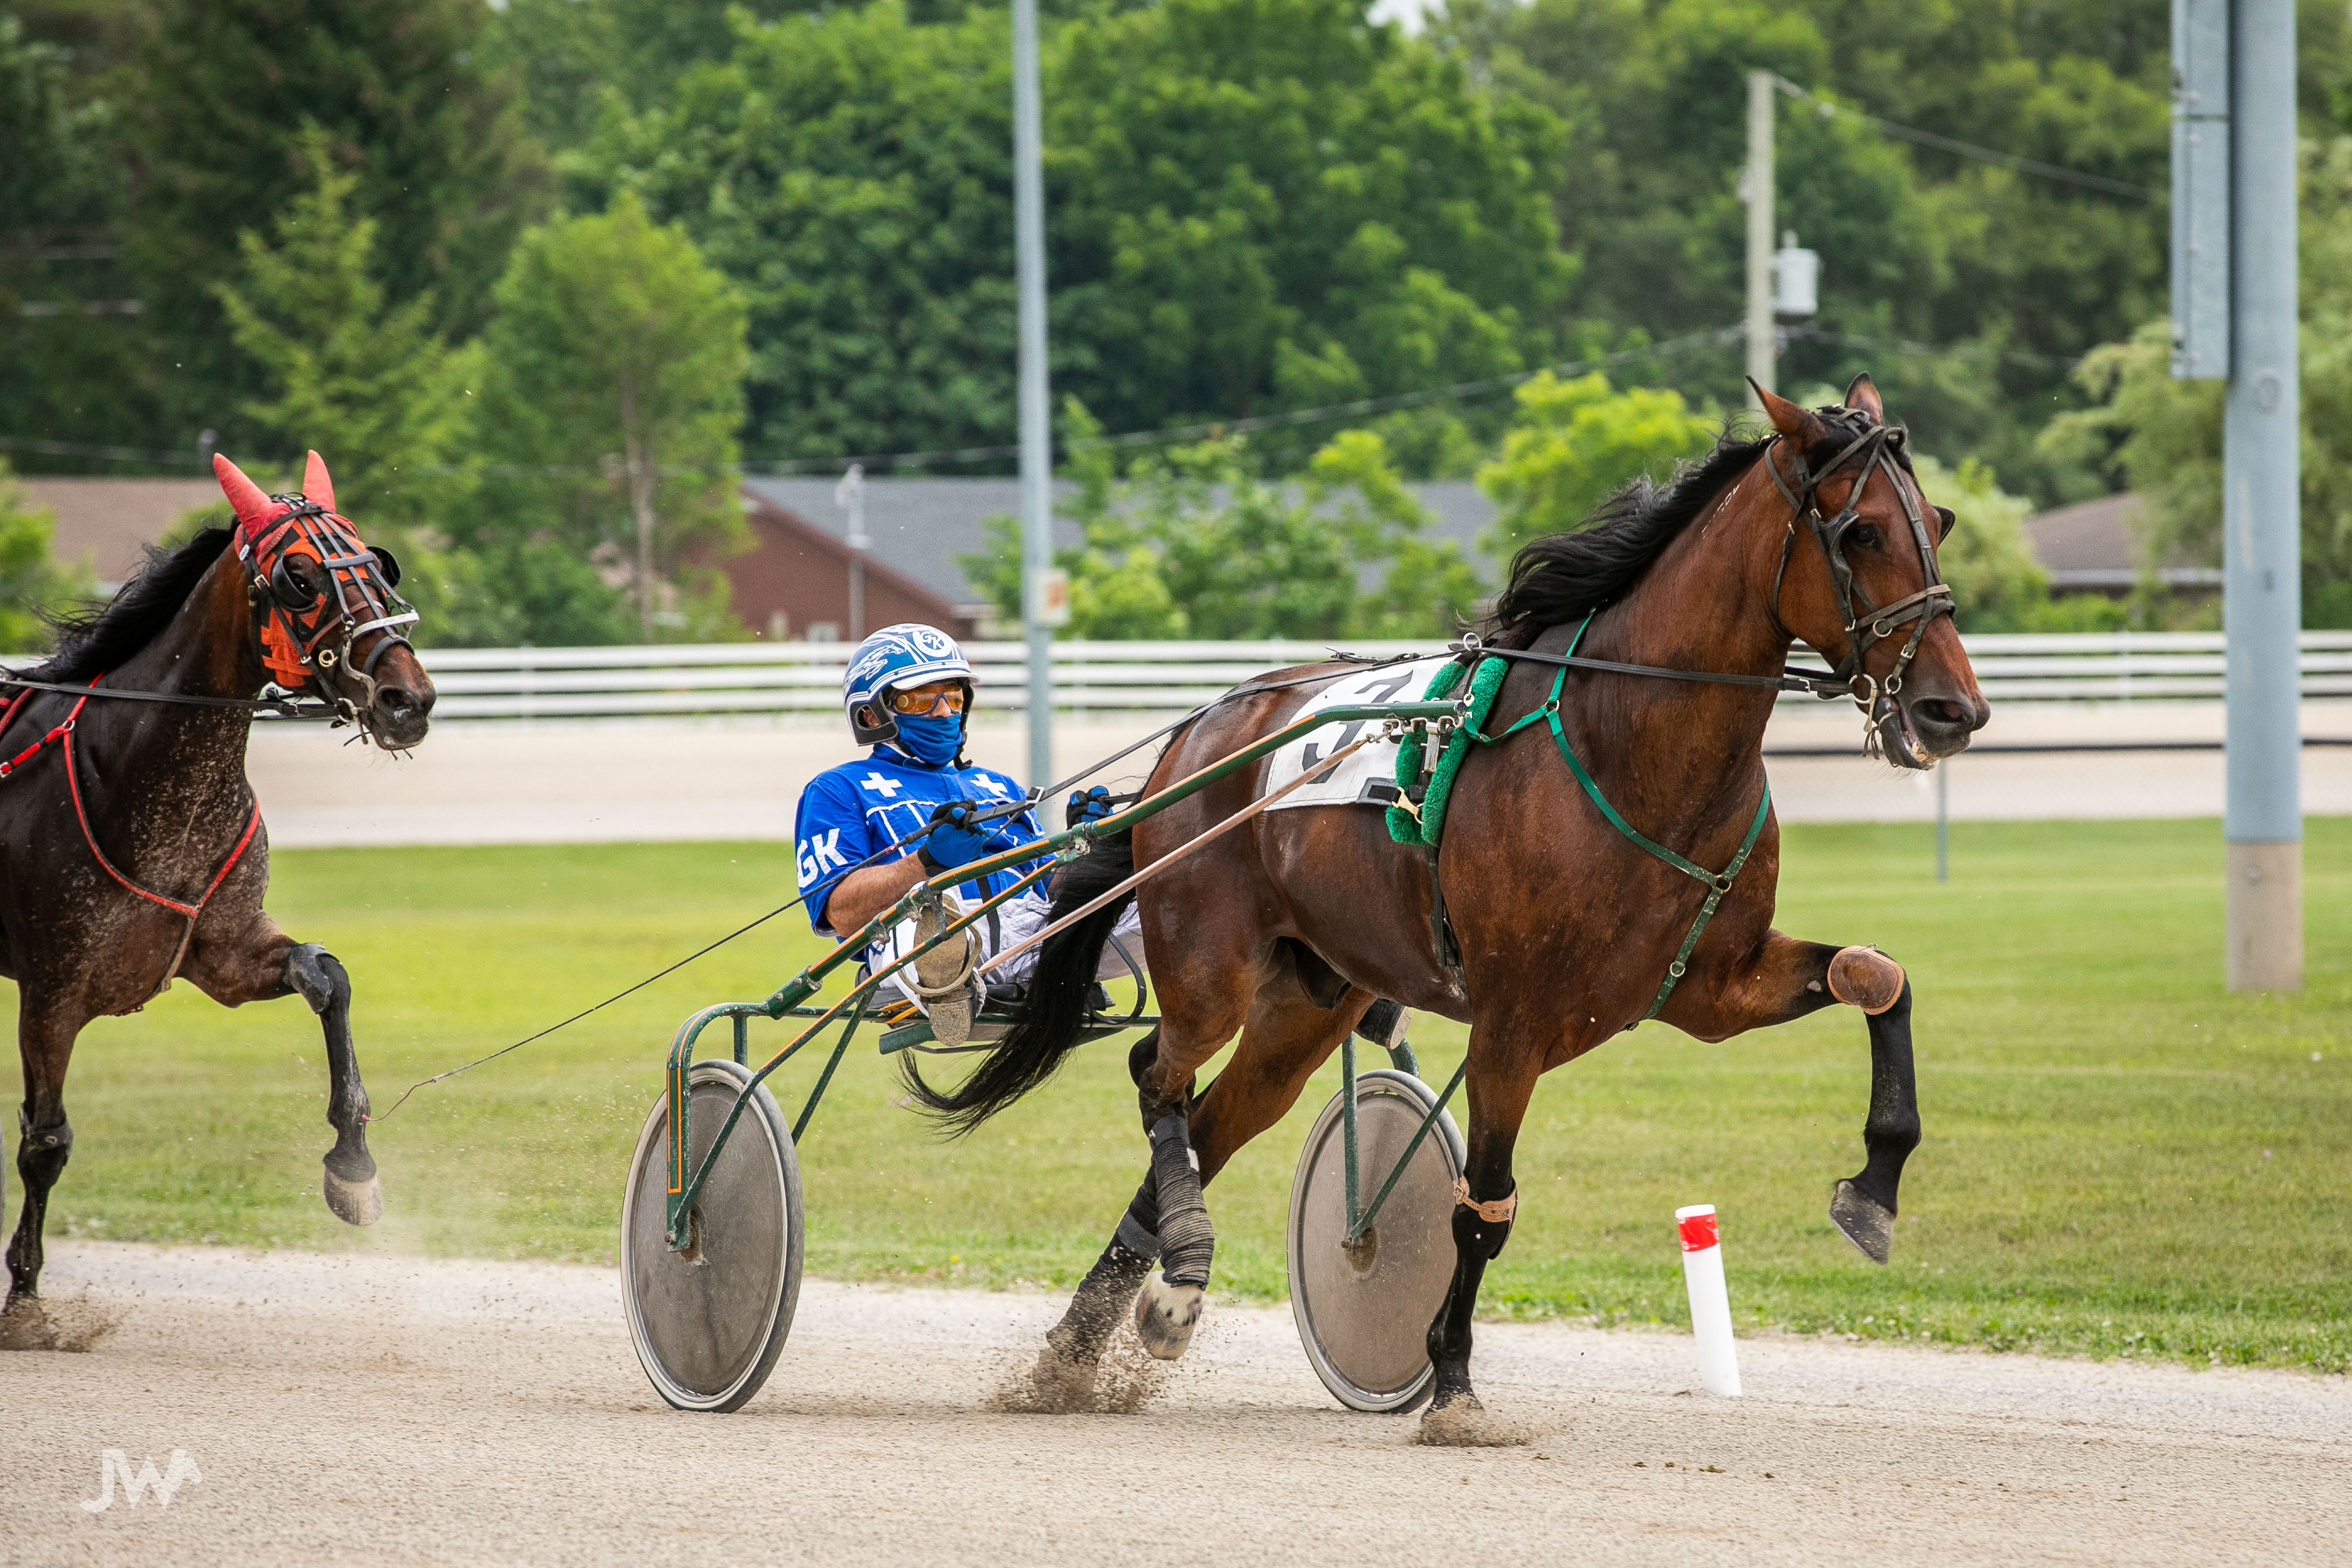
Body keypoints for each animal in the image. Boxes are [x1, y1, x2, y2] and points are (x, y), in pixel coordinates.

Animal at [0, 446, 433, 1344]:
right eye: (300, 577)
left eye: (379, 565)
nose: (407, 698)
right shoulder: (52, 987)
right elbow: (45, 1140)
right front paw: (25, 1300)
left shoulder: (222, 949)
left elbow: (325, 974)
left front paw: (353, 1165)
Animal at [917, 376, 1985, 1438]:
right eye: (1858, 532)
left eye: (1935, 520)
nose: (1951, 711)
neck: (1627, 746)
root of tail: (1200, 730)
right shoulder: (1513, 1019)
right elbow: (1483, 1201)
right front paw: (1454, 1384)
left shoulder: (1709, 987)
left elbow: (1876, 977)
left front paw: (1872, 1188)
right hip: (1206, 965)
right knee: (1157, 1076)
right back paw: (1174, 1277)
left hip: (1309, 1001)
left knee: (1212, 1117)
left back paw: (1083, 1341)